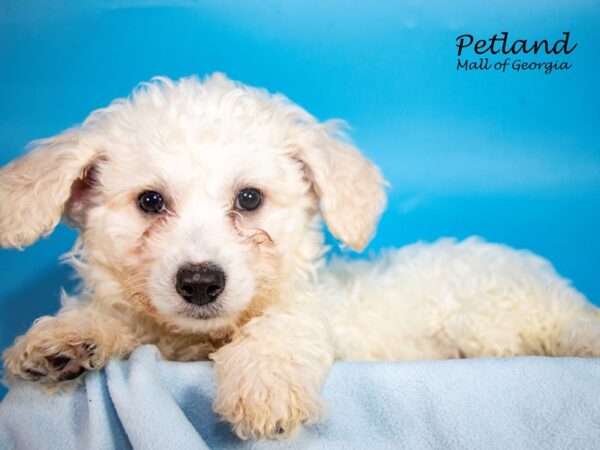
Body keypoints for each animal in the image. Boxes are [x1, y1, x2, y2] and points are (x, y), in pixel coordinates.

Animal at [1, 74, 600, 440]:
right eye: (150, 202)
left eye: (249, 199)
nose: (200, 282)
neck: (202, 341)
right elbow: (121, 317)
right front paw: (67, 338)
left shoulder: (314, 308)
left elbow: (283, 324)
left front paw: (264, 385)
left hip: (502, 316)